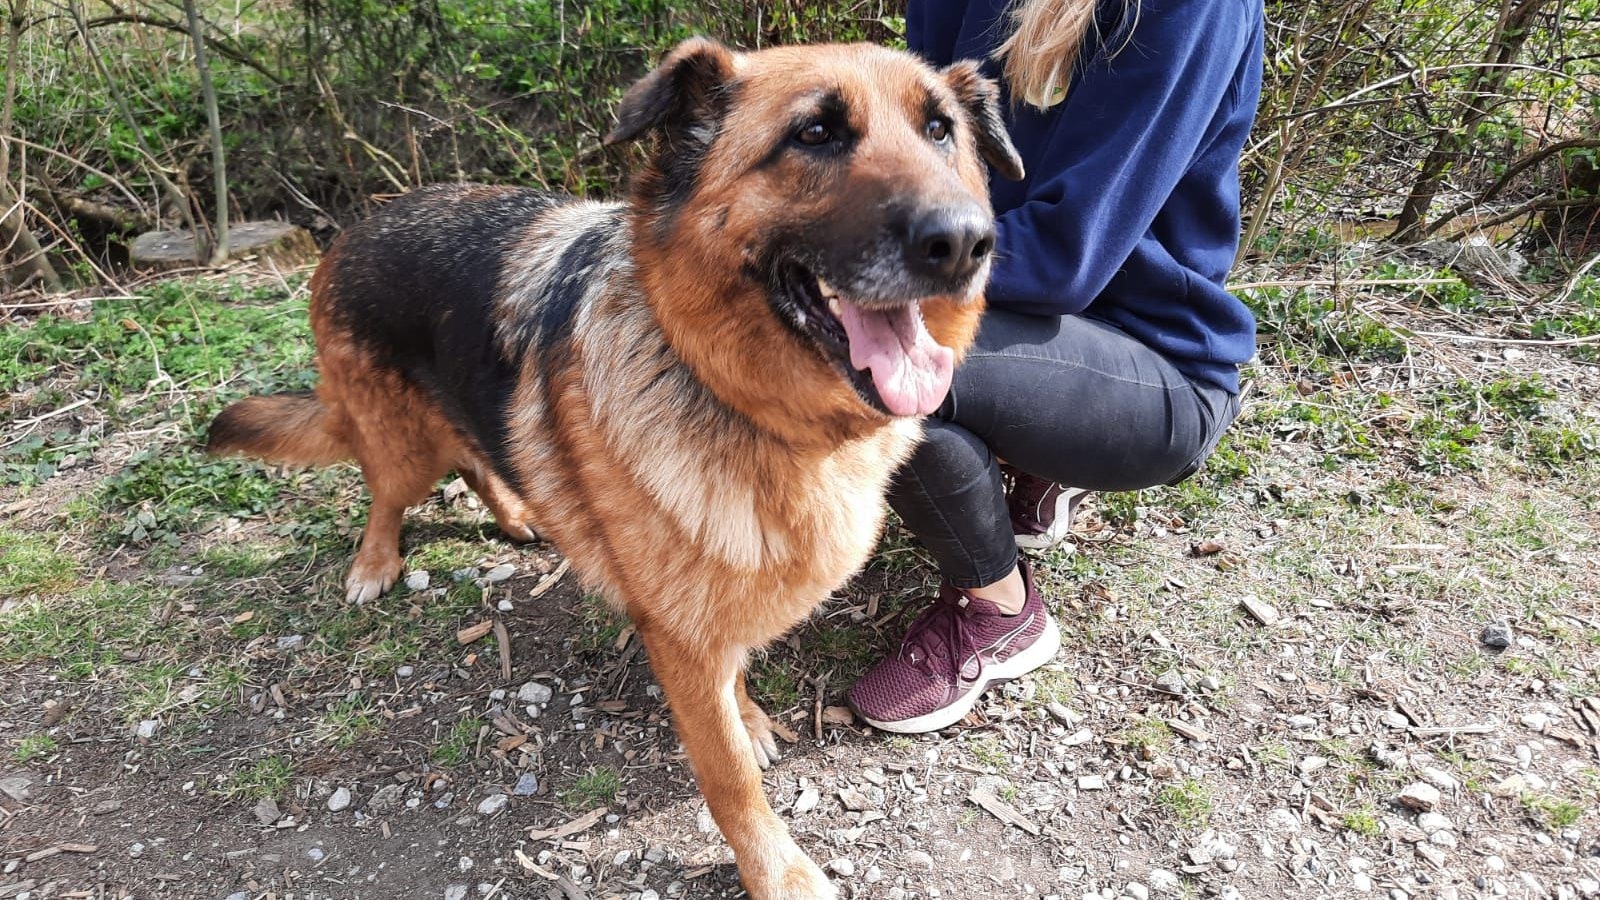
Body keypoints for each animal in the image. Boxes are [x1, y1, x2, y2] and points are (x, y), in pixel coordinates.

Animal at [206, 36, 1022, 899]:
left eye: (939, 131)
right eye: (815, 134)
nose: (965, 243)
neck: (733, 395)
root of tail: (355, 226)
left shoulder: (707, 607)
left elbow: (732, 681)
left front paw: (748, 715)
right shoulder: (680, 632)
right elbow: (728, 777)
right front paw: (777, 869)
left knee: (477, 457)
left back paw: (517, 514)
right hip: (397, 441)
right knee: (387, 492)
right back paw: (374, 561)